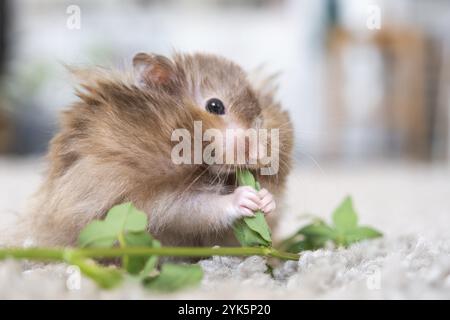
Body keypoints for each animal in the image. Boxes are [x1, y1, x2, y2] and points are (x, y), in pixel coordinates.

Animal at [17, 52, 294, 248]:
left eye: (261, 112)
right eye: (215, 106)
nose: (258, 154)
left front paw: (265, 199)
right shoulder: (145, 198)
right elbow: (196, 208)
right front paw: (246, 197)